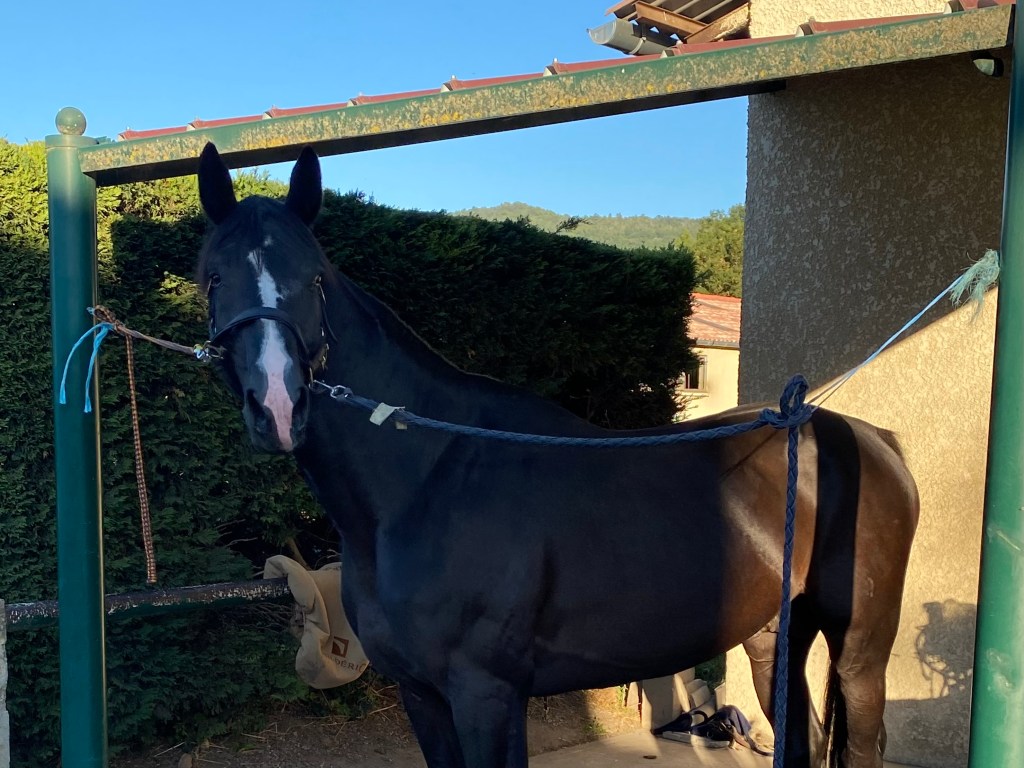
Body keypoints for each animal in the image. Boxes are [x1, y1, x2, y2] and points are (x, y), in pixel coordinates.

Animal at [194, 143, 919, 768]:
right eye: (212, 279)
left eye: (313, 278)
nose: (278, 405)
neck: (426, 482)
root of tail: (875, 441)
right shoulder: (422, 696)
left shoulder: (485, 694)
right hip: (772, 638)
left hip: (860, 650)